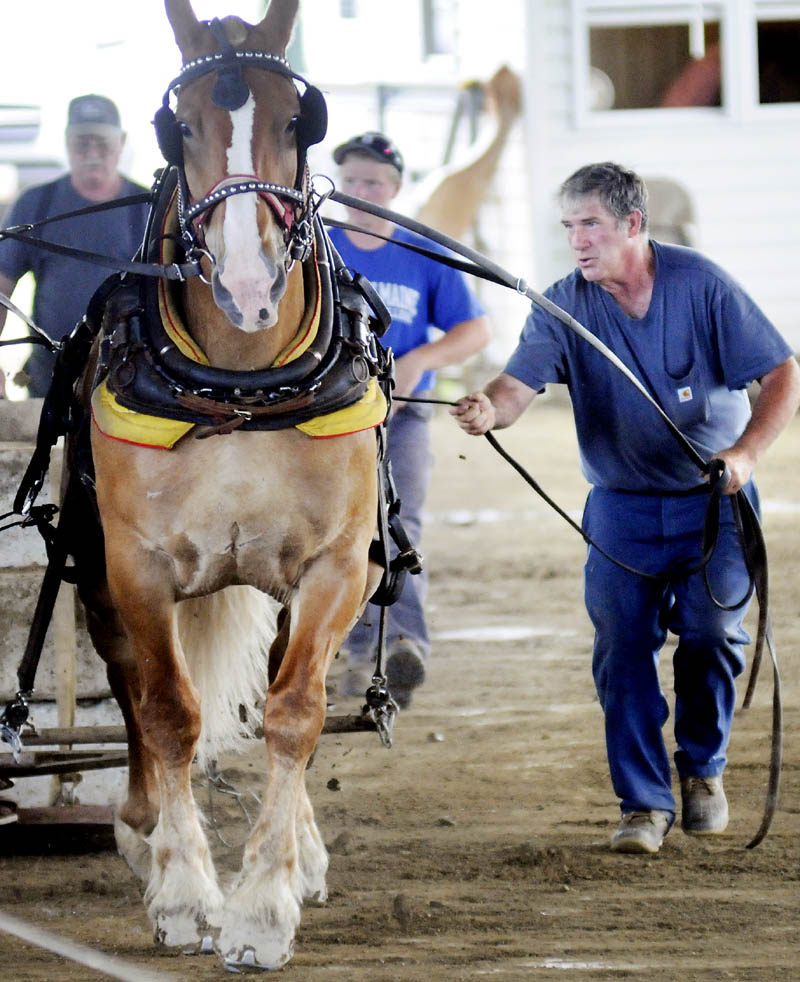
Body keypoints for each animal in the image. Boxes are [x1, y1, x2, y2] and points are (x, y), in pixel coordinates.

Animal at [71, 0, 392, 970]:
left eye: (298, 120)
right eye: (178, 128)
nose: (249, 286)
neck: (242, 385)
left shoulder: (333, 568)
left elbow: (296, 712)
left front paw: (262, 908)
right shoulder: (138, 569)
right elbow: (168, 714)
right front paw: (185, 896)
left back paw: (302, 855)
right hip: (99, 581)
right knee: (132, 693)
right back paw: (143, 830)